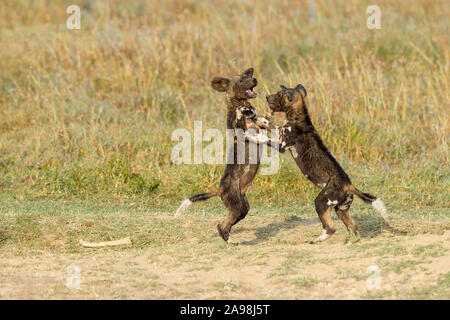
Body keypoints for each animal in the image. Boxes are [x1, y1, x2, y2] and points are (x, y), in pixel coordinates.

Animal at [175, 67, 268, 242]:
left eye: (248, 77)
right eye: (241, 80)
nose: (255, 80)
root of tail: (219, 189)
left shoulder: (259, 124)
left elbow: (261, 121)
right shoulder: (239, 130)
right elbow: (240, 116)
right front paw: (242, 111)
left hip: (243, 206)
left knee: (225, 223)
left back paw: (228, 238)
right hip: (236, 205)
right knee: (223, 225)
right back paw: (229, 241)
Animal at [244, 84, 388, 244]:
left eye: (279, 94)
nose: (267, 96)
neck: (297, 118)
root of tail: (349, 185)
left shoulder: (282, 145)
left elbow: (266, 137)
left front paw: (253, 136)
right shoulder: (279, 134)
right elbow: (268, 124)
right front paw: (257, 118)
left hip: (320, 201)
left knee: (330, 228)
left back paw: (318, 239)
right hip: (340, 209)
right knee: (353, 227)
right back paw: (350, 241)